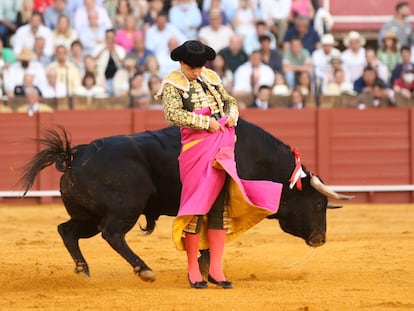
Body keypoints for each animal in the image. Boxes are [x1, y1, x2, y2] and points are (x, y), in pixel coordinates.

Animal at [19, 119, 350, 282]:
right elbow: (213, 236)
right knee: (112, 234)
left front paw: (202, 268)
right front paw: (206, 269)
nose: (320, 238)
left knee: (68, 230)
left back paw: (83, 272)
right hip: (125, 208)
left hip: (87, 214)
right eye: (318, 204)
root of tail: (75, 155)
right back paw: (144, 270)